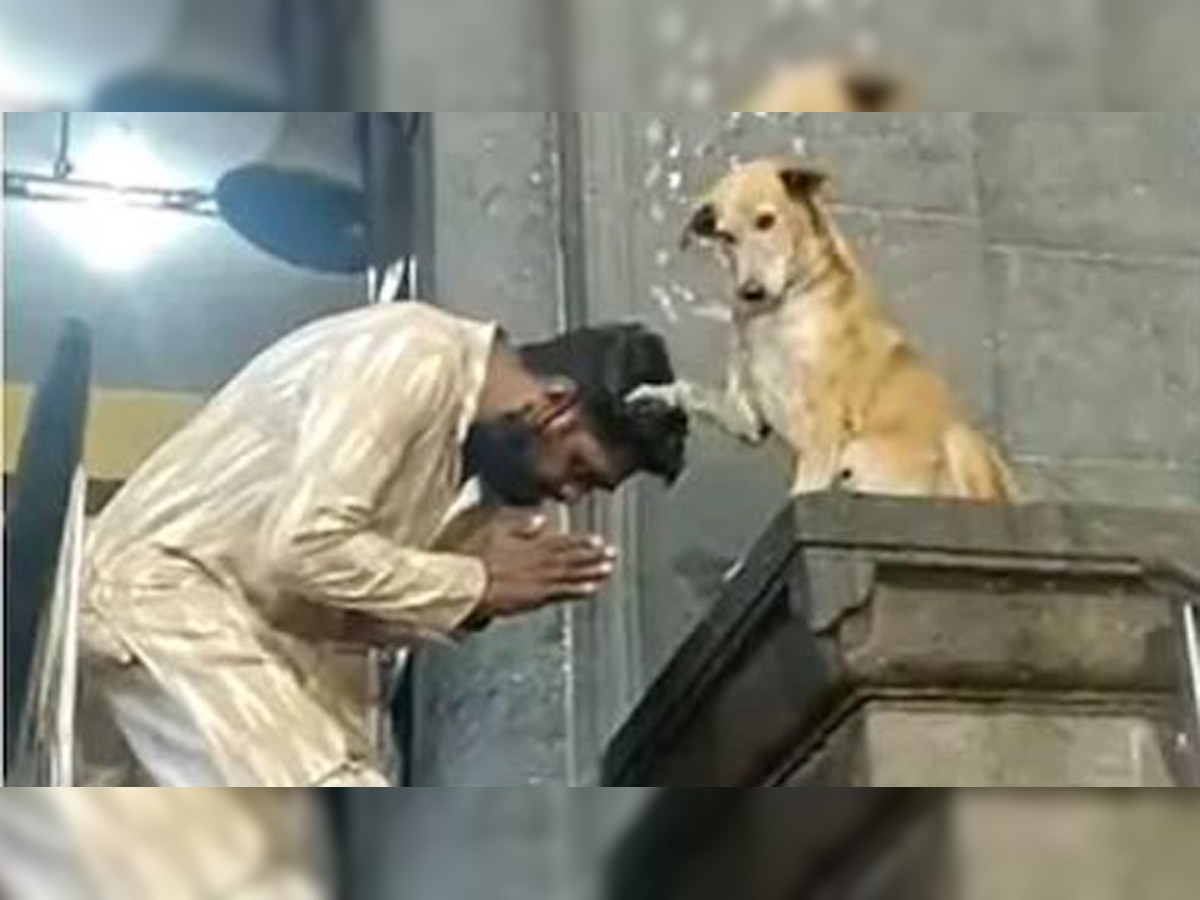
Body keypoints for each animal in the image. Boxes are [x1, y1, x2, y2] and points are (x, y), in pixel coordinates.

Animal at [633, 158, 1017, 504]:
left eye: (766, 220)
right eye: (726, 236)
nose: (750, 292)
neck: (778, 313)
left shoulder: (824, 424)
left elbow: (803, 492)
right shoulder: (748, 417)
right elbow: (690, 390)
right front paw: (655, 393)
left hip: (963, 443)